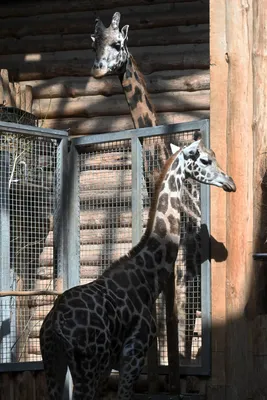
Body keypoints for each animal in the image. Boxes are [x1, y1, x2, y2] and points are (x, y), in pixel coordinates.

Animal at [39, 140, 237, 400]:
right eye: (205, 160)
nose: (230, 183)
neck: (148, 277)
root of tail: (55, 324)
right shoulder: (134, 354)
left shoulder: (111, 364)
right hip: (88, 366)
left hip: (54, 362)